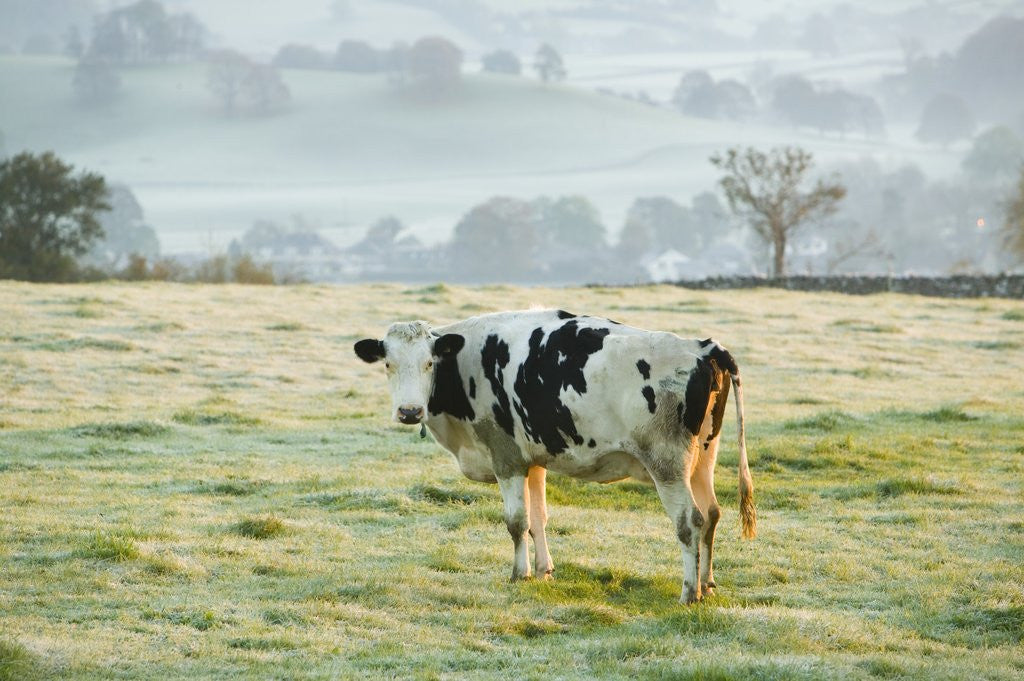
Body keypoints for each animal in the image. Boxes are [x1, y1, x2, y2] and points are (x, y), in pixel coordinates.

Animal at [354, 309, 755, 603]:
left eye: (429, 363)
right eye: (387, 364)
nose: (409, 411)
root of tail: (703, 347)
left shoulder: (506, 458)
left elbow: (516, 522)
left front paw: (520, 574)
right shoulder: (533, 460)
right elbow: (538, 519)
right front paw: (543, 570)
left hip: (667, 463)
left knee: (690, 521)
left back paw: (689, 593)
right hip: (703, 456)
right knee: (713, 513)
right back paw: (707, 583)